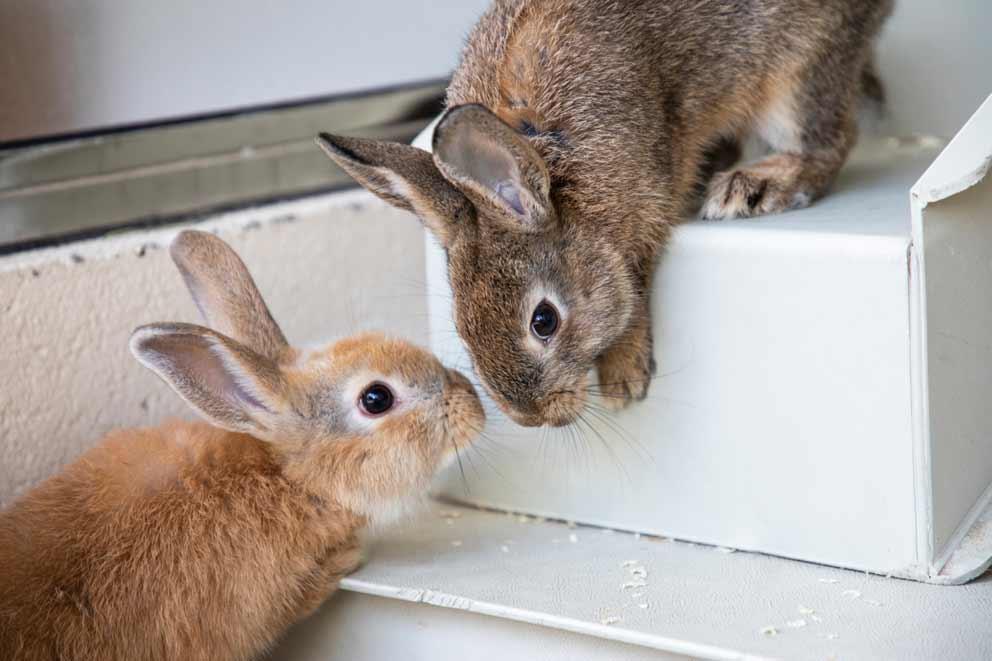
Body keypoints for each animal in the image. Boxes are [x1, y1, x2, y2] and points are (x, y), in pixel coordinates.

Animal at [316, 0, 892, 428]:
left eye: (544, 321)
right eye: (461, 323)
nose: (530, 417)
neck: (554, 175)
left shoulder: (645, 204)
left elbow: (633, 293)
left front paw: (622, 379)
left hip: (796, 70)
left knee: (829, 139)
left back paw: (754, 184)